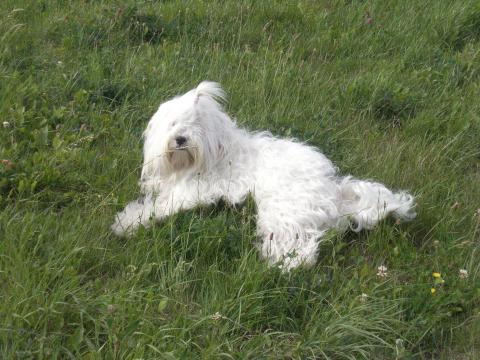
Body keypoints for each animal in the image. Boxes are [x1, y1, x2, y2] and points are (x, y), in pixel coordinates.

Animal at [110, 81, 414, 270]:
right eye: (173, 123)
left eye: (197, 124)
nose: (181, 138)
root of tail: (334, 191)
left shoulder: (193, 192)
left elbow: (159, 208)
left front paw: (127, 223)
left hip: (284, 210)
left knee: (300, 247)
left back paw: (281, 265)